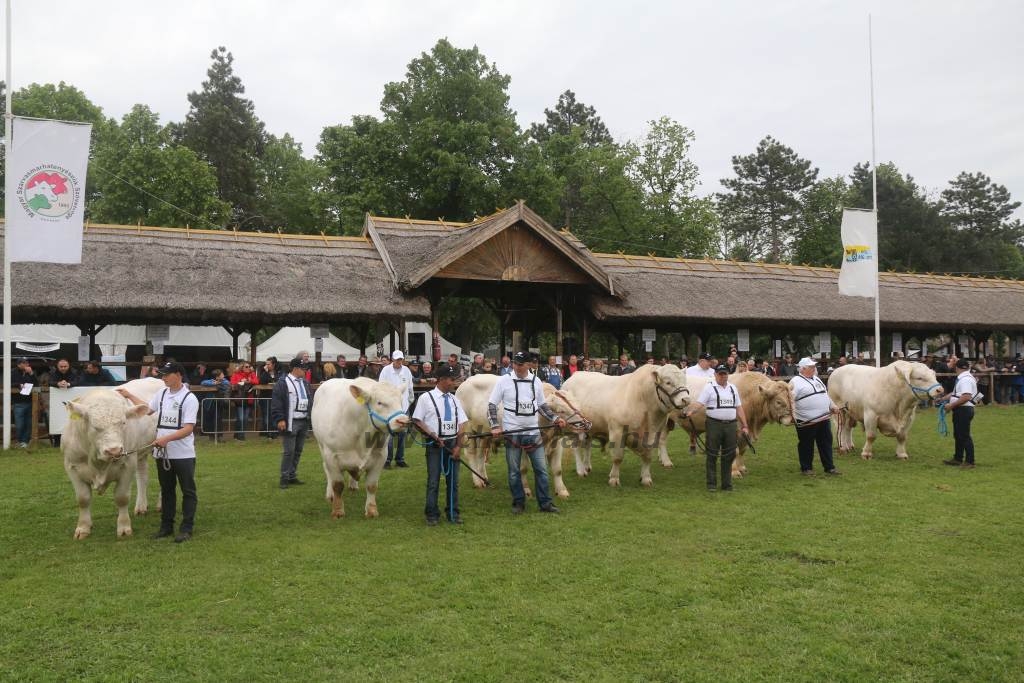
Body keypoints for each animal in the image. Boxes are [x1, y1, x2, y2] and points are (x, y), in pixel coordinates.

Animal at [61, 376, 163, 536]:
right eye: (94, 426)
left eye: (123, 422)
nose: (114, 450)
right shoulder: (72, 465)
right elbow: (83, 498)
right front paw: (83, 528)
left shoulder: (128, 463)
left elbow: (122, 497)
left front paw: (124, 528)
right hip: (140, 453)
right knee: (142, 476)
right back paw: (141, 506)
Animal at [309, 378, 409, 518]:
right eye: (379, 402)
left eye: (400, 400)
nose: (403, 421)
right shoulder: (331, 455)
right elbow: (337, 485)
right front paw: (338, 511)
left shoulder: (380, 456)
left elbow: (372, 485)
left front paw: (371, 510)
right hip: (321, 446)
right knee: (327, 470)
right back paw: (330, 495)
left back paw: (353, 484)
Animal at [557, 366, 692, 489]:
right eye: (668, 382)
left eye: (684, 381)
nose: (686, 399)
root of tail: (575, 375)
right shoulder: (617, 431)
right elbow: (617, 457)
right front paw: (614, 479)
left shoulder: (655, 433)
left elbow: (648, 457)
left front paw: (646, 478)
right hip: (574, 427)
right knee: (576, 447)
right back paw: (581, 470)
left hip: (590, 426)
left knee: (587, 445)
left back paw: (587, 466)